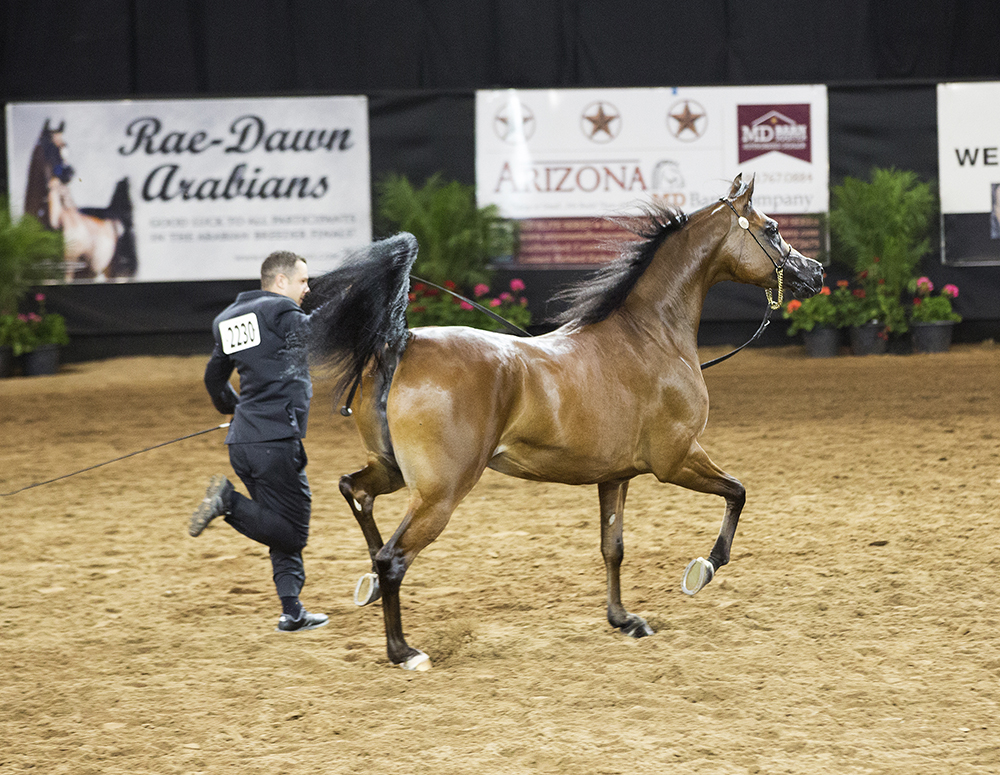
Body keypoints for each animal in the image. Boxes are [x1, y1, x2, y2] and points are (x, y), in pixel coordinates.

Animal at [23, 120, 137, 281]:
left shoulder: (66, 271)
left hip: (115, 274)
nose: (68, 172)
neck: (52, 221)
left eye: (66, 145)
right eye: (48, 145)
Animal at [305, 174, 824, 670]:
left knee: (356, 493)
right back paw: (404, 652)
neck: (650, 337)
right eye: (772, 229)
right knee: (393, 558)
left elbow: (613, 546)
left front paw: (624, 620)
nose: (815, 272)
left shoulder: (615, 476)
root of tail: (402, 342)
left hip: (393, 470)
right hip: (440, 493)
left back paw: (370, 588)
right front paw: (703, 570)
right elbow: (738, 492)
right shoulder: (676, 459)